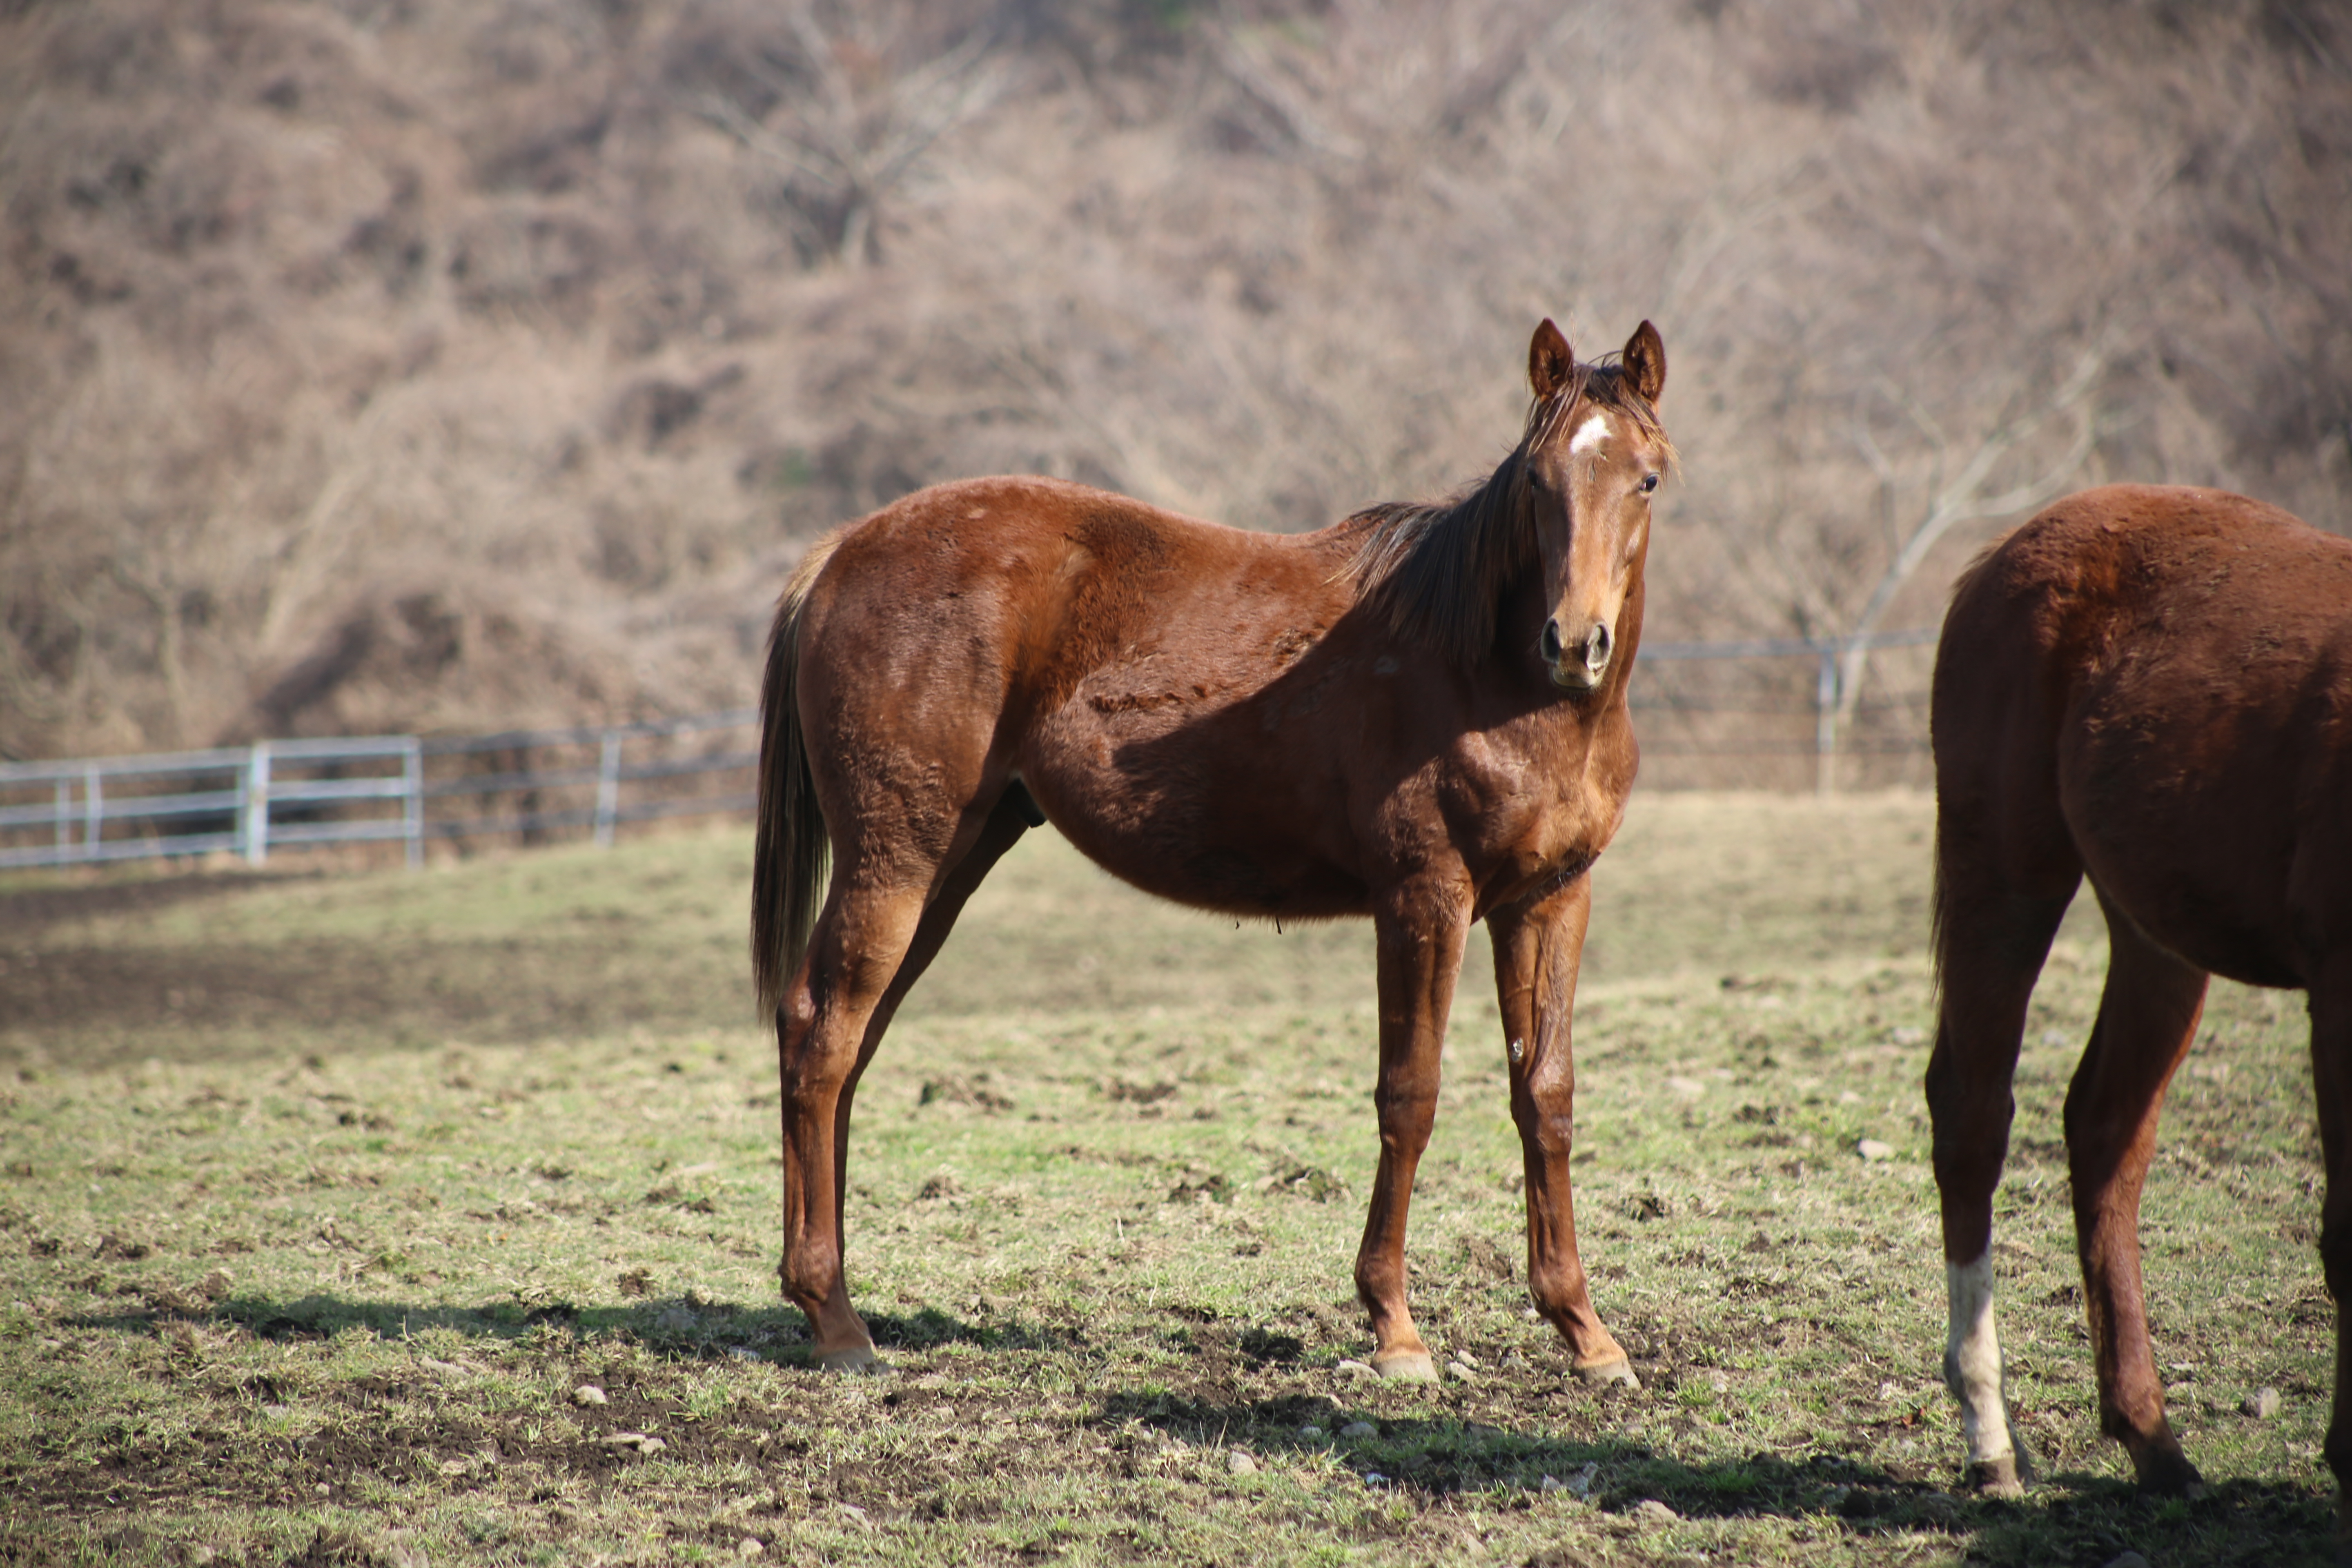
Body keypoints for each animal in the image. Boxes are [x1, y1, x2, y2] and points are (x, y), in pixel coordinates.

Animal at [753, 319, 1675, 1382]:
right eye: (1534, 478)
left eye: (1646, 478)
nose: (1573, 643)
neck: (1488, 676)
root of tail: (838, 553)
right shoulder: (1423, 898)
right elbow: (1410, 1093)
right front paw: (1395, 1329)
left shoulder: (1550, 898)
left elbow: (1545, 1096)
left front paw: (1584, 1331)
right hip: (893, 862)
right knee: (822, 1037)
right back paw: (836, 1320)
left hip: (947, 865)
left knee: (846, 1046)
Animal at [1929, 484, 2352, 1504]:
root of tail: (2017, 541)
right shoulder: (2337, 993)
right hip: (2008, 878)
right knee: (1975, 1121)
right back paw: (1990, 1435)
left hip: (2153, 932)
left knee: (2105, 1130)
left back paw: (2150, 1435)